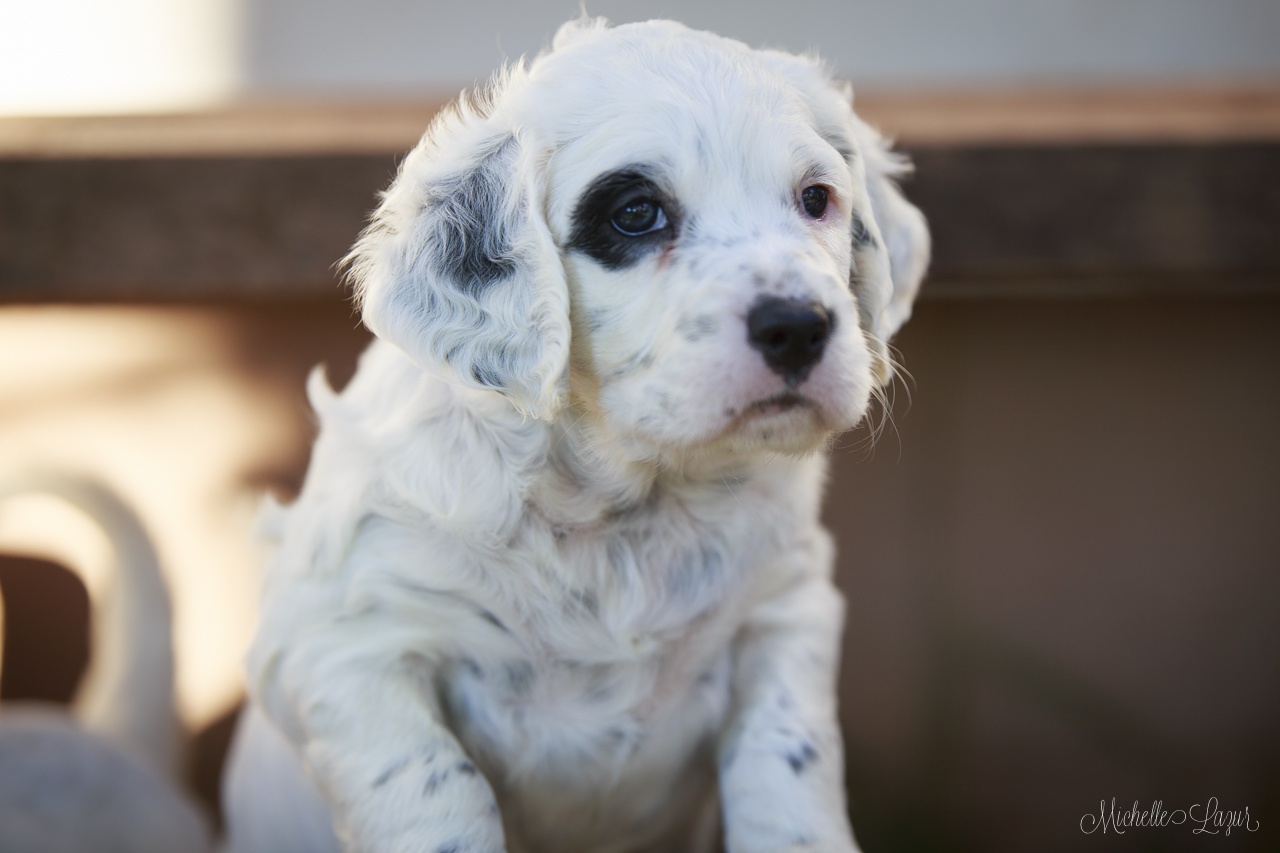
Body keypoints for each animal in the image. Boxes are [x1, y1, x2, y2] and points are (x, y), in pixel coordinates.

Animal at [225, 14, 926, 850]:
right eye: (635, 213)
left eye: (816, 198)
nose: (799, 326)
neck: (620, 503)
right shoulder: (350, 645)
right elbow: (438, 786)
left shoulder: (784, 610)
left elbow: (789, 761)